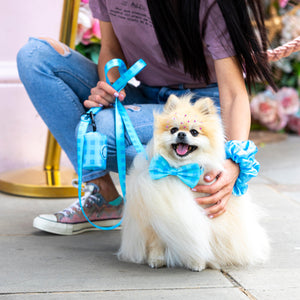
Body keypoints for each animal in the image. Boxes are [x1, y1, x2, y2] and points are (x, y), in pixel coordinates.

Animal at [118, 95, 270, 270]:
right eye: (173, 130)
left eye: (194, 132)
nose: (181, 134)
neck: (180, 169)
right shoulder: (153, 218)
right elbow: (157, 242)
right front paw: (156, 259)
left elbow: (200, 237)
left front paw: (197, 262)